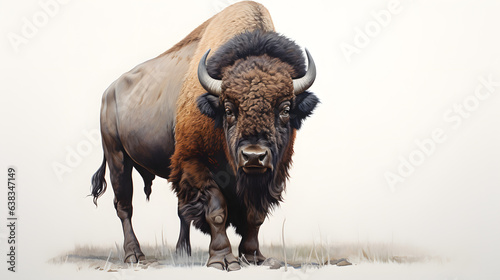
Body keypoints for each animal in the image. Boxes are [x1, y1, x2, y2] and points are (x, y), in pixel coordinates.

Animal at [91, 0, 320, 272]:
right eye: (229, 109)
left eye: (285, 109)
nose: (253, 156)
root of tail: (109, 92)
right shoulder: (196, 165)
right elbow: (217, 211)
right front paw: (223, 260)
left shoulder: (271, 174)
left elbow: (255, 216)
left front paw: (254, 257)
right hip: (117, 157)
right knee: (124, 206)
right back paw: (134, 255)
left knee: (180, 211)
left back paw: (183, 252)